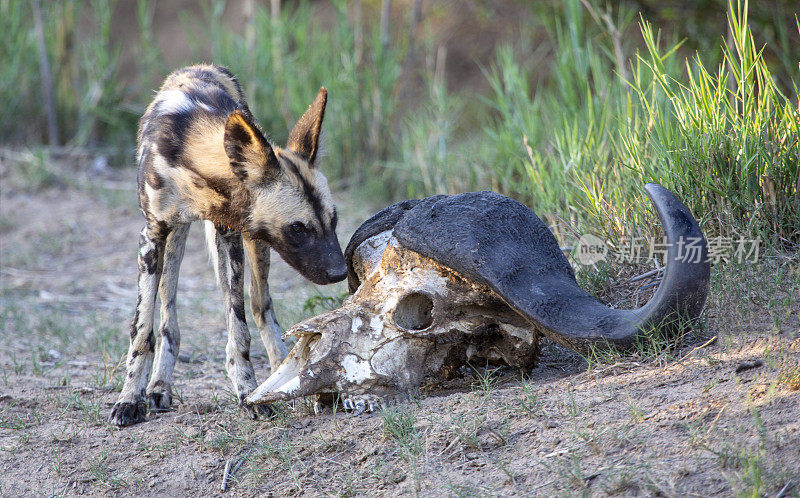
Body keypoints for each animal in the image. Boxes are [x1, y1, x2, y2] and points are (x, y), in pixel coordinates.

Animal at [110, 64, 346, 426]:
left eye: (333, 220)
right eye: (298, 229)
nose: (340, 272)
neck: (193, 166)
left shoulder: (230, 236)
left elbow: (239, 330)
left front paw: (248, 393)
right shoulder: (151, 237)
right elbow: (141, 331)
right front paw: (129, 399)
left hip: (254, 243)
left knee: (261, 305)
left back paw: (281, 375)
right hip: (173, 242)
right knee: (167, 319)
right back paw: (159, 386)